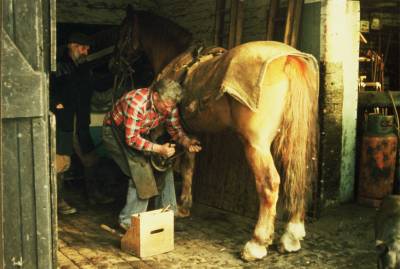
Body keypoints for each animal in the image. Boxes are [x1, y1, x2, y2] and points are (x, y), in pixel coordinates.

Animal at [111, 5, 318, 260]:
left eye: (123, 31)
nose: (114, 64)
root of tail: (288, 58)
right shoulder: (190, 131)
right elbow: (190, 164)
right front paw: (185, 205)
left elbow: (184, 163)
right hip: (290, 141)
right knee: (295, 176)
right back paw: (291, 237)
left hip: (257, 145)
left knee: (270, 184)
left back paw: (256, 244)